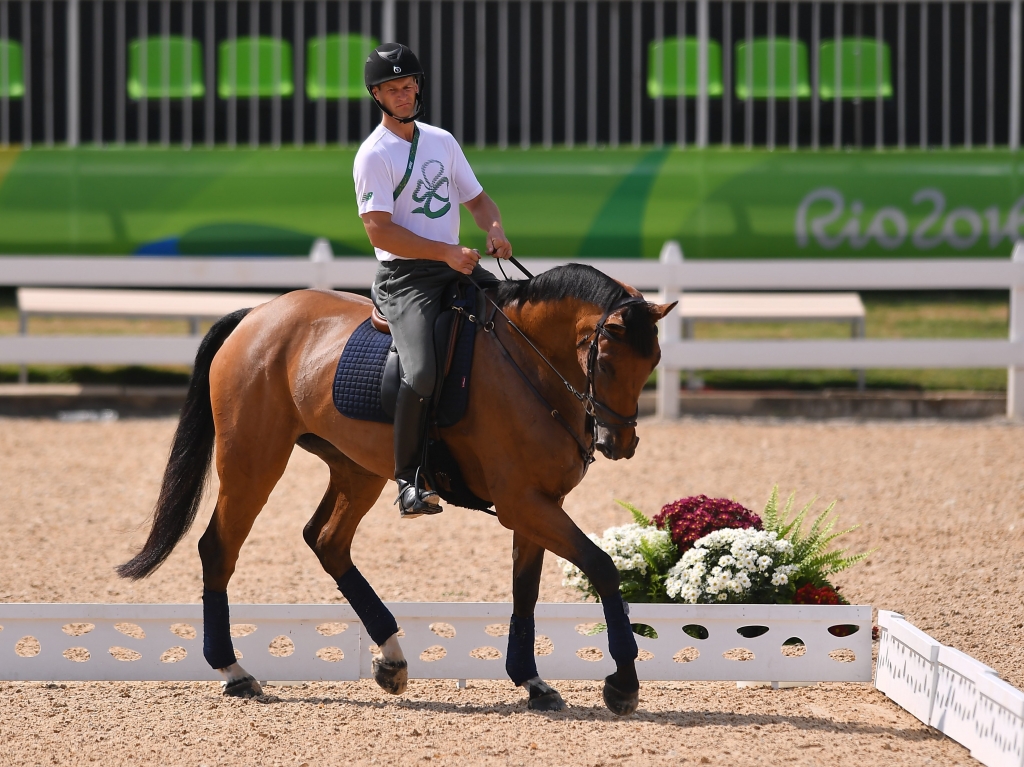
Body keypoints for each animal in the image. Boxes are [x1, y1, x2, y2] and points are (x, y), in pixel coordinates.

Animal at [117, 262, 671, 712]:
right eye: (606, 363)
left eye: (654, 363)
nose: (620, 442)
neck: (529, 363)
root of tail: (257, 314)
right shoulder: (523, 503)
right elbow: (602, 567)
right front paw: (623, 684)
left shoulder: (539, 503)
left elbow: (526, 592)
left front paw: (532, 682)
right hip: (252, 462)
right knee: (220, 548)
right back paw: (233, 671)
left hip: (358, 469)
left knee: (327, 541)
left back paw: (391, 660)